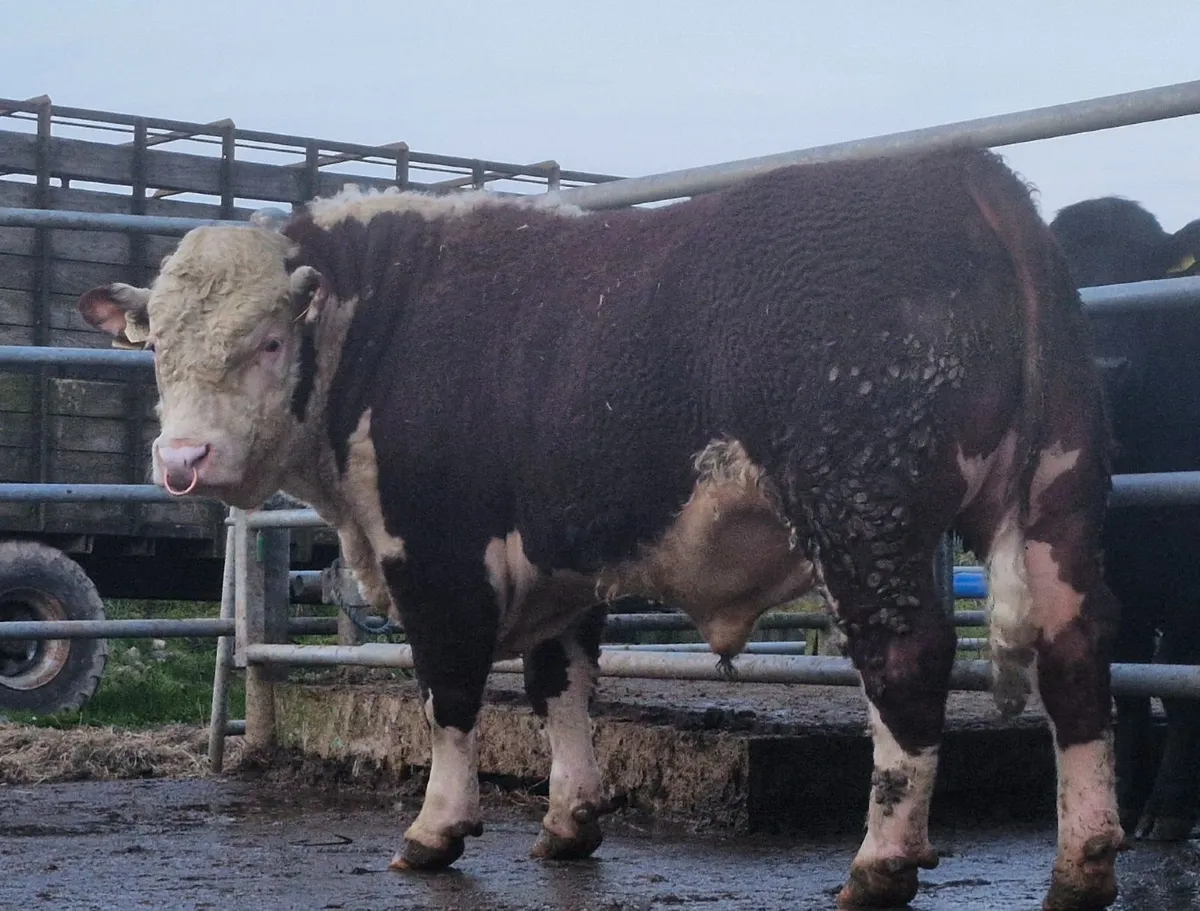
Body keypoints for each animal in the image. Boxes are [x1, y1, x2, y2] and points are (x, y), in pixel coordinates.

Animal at [79, 148, 1123, 910]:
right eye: (158, 346)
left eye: (266, 341)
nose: (183, 460)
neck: (386, 320)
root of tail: (959, 171)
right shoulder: (560, 560)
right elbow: (564, 686)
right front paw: (570, 822)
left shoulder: (436, 554)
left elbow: (449, 692)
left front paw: (434, 829)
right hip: (1060, 497)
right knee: (1077, 656)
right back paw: (1082, 865)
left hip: (865, 506)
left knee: (906, 661)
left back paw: (880, 863)